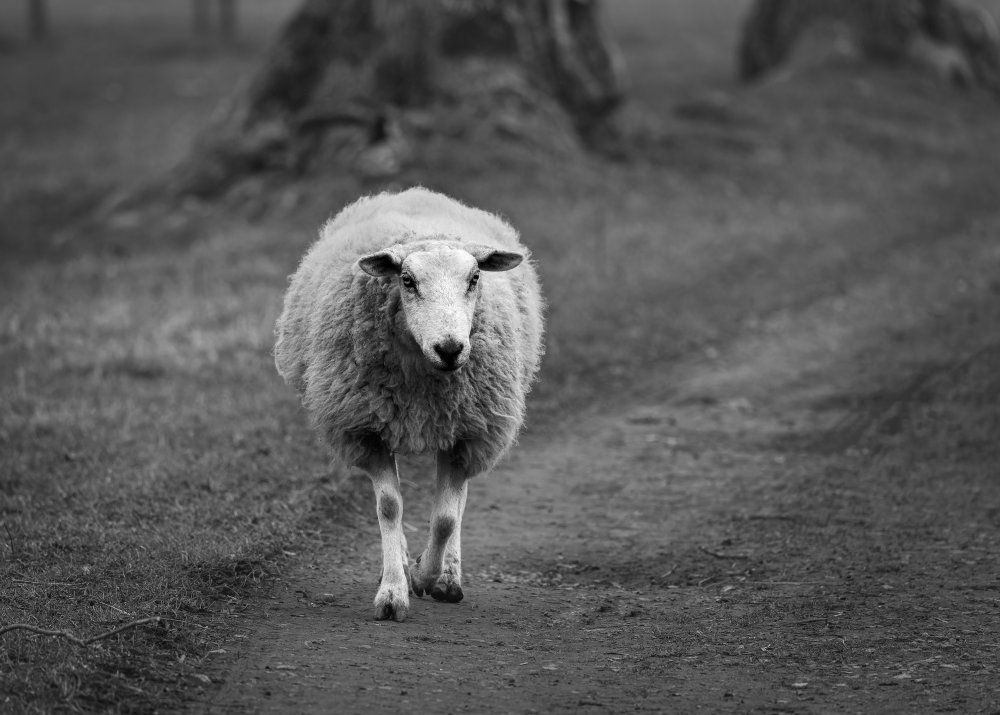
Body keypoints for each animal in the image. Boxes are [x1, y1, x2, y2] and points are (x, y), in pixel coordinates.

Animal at [274, 187, 544, 621]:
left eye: (474, 278)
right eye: (407, 280)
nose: (450, 348)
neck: (423, 372)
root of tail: (417, 193)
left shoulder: (466, 434)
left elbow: (446, 518)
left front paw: (426, 576)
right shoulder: (367, 430)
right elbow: (389, 506)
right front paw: (393, 590)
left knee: (457, 503)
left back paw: (448, 578)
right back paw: (403, 561)